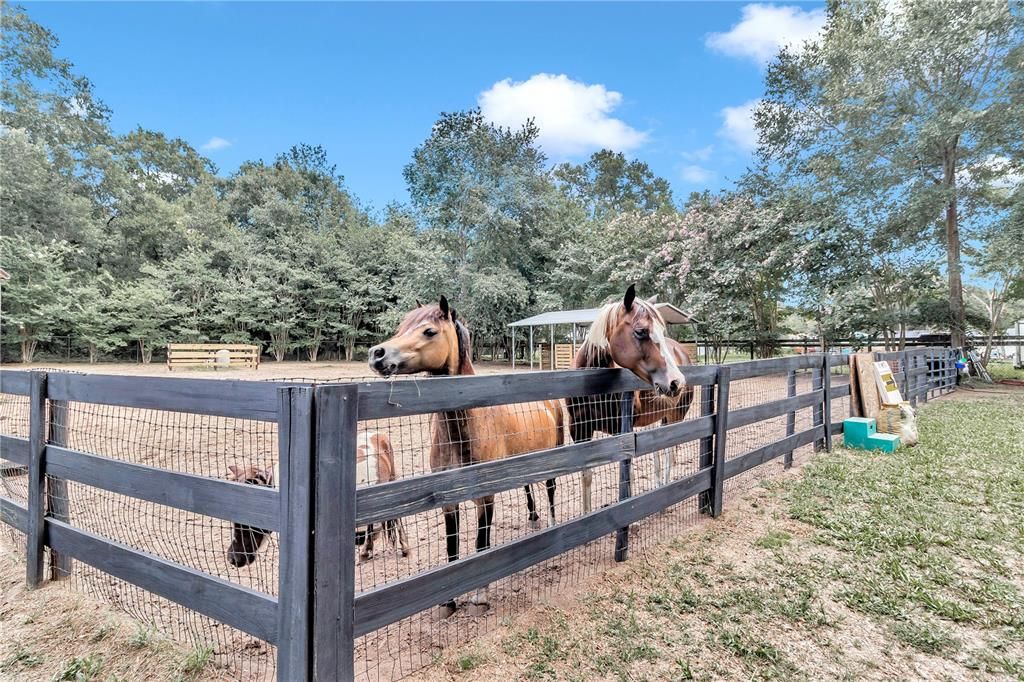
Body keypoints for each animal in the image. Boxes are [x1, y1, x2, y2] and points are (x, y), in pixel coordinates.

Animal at [366, 294, 565, 614]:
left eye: (429, 331)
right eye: (401, 327)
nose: (377, 354)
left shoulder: (485, 497)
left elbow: (481, 543)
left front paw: (480, 596)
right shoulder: (448, 500)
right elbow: (452, 546)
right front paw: (448, 601)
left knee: (550, 488)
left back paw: (551, 522)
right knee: (528, 488)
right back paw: (534, 518)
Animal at [565, 282, 700, 509]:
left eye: (661, 330)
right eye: (640, 331)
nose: (676, 382)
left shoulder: (621, 432)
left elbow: (626, 473)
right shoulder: (580, 429)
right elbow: (586, 476)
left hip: (676, 416)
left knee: (670, 452)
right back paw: (658, 485)